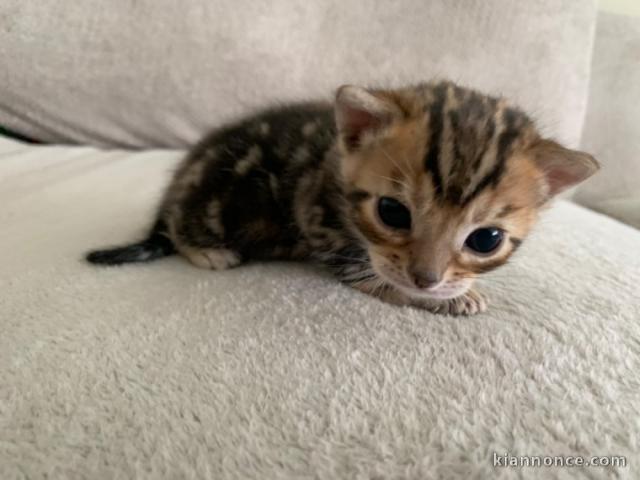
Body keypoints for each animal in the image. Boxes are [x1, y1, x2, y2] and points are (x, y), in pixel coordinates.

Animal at [86, 80, 600, 316]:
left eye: (485, 239)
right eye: (392, 212)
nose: (428, 279)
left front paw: (454, 289)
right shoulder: (316, 219)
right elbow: (371, 272)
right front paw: (448, 298)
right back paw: (209, 250)